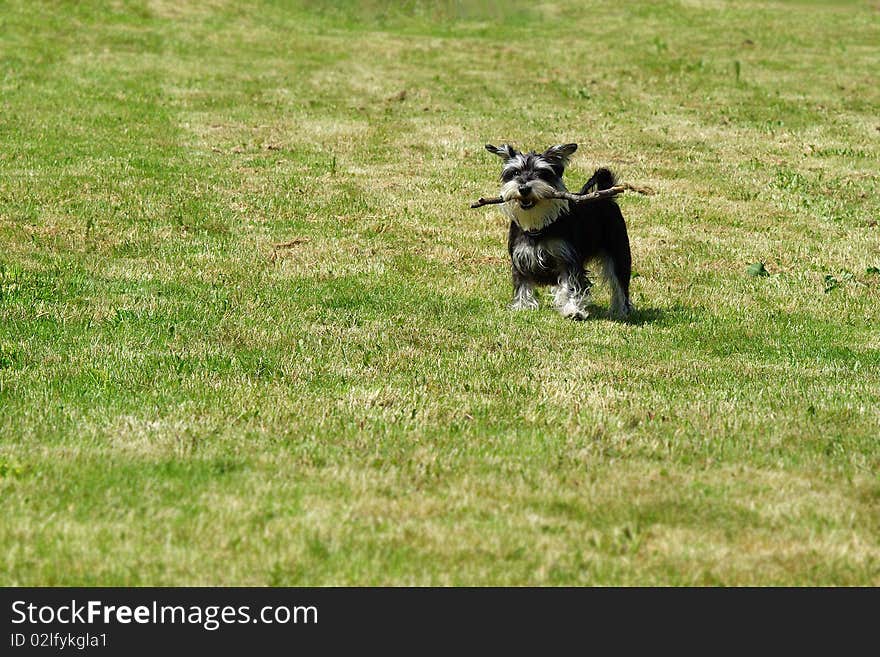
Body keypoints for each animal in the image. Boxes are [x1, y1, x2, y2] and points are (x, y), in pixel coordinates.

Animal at [482, 142, 632, 320]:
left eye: (541, 173)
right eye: (515, 172)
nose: (524, 188)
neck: (539, 225)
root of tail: (606, 196)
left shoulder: (568, 260)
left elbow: (572, 286)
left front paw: (573, 310)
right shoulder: (520, 259)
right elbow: (522, 284)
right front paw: (522, 306)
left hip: (619, 254)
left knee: (620, 285)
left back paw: (621, 311)